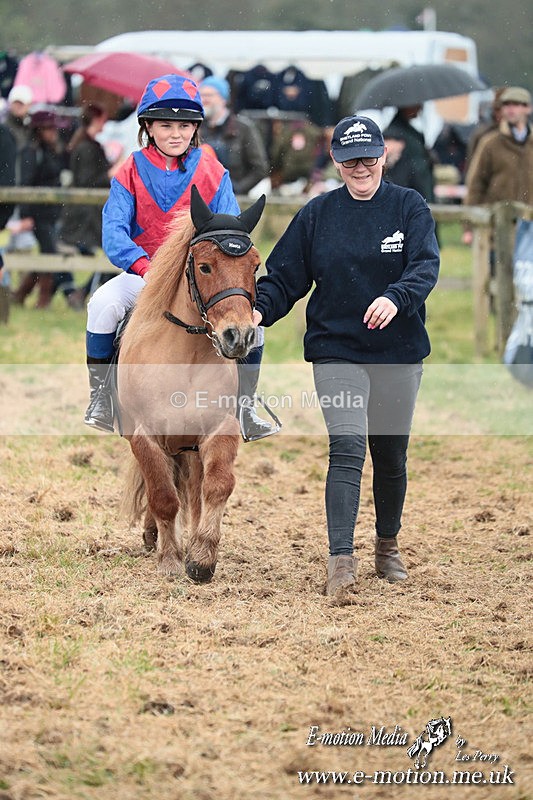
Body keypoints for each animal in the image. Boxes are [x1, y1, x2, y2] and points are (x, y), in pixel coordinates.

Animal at [118, 185, 266, 582]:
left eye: (255, 266)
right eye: (204, 266)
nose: (238, 336)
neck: (186, 358)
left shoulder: (219, 430)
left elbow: (216, 487)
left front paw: (201, 558)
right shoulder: (146, 437)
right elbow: (163, 497)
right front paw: (170, 560)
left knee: (196, 490)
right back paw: (154, 537)